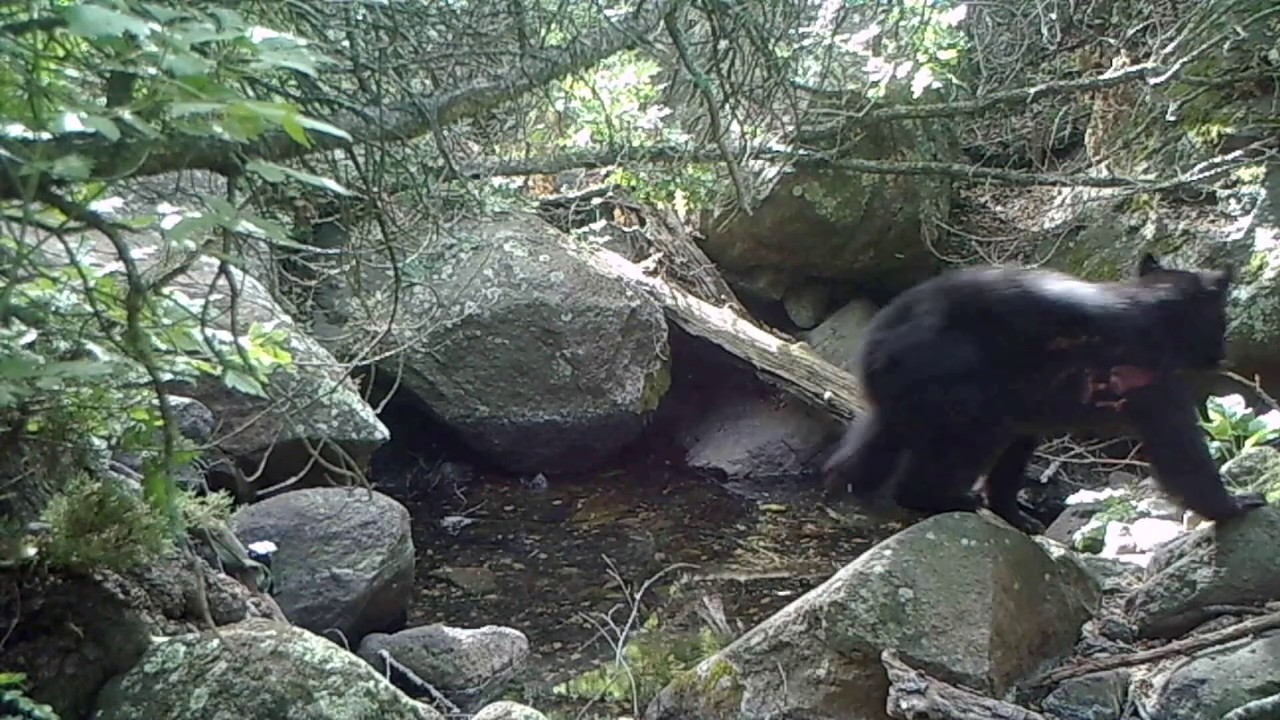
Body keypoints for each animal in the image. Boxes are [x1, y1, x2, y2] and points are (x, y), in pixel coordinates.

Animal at [821, 252, 1267, 534]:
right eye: (1222, 318)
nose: (1222, 353)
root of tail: (875, 340)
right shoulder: (1155, 389)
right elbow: (1184, 458)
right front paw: (1236, 504)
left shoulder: (1030, 411)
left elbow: (1010, 467)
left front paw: (1016, 514)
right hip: (963, 394)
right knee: (944, 455)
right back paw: (945, 498)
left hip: (905, 402)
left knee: (870, 447)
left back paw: (848, 487)